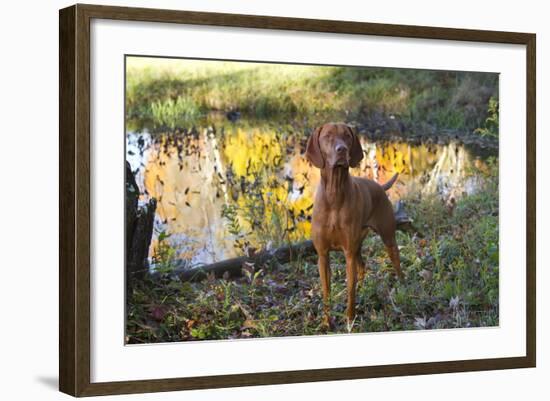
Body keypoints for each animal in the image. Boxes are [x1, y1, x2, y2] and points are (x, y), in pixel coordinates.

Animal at [308, 122, 404, 328]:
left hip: (387, 237)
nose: (342, 149)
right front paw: (327, 322)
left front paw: (350, 321)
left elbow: (351, 292)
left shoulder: (348, 254)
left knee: (395, 261)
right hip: (358, 244)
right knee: (363, 267)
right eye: (327, 136)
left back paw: (403, 284)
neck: (334, 194)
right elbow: (326, 292)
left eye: (347, 136)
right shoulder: (323, 255)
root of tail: (379, 186)